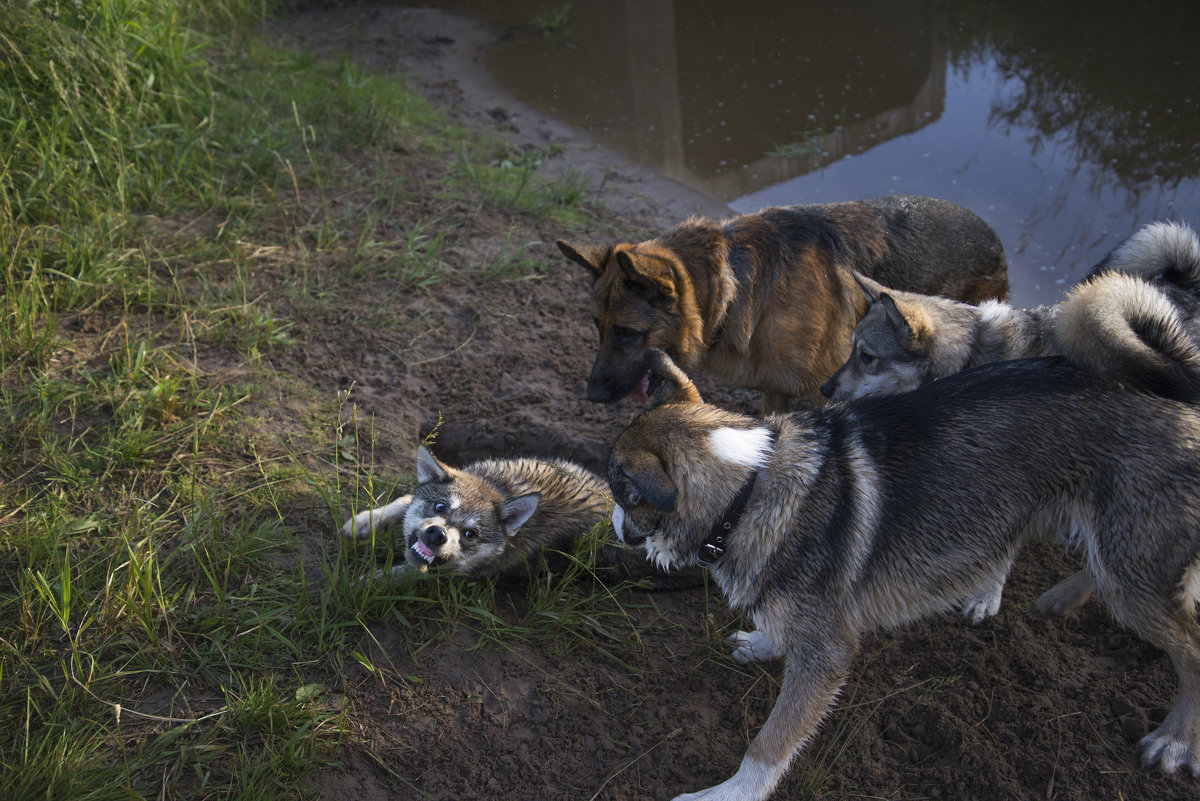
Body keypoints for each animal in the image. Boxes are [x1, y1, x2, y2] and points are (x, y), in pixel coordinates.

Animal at [340, 443, 696, 587]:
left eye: (470, 534)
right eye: (440, 508)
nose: (437, 535)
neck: (501, 488)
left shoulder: (448, 574)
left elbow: (395, 574)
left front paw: (357, 583)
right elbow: (403, 500)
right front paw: (365, 522)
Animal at [556, 190, 1008, 410]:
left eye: (627, 333)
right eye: (598, 328)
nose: (592, 396)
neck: (729, 286)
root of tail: (994, 237)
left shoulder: (828, 395)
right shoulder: (778, 390)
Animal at [609, 352, 1200, 801]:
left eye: (620, 492)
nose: (612, 525)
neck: (750, 488)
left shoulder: (828, 654)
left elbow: (771, 743)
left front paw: (727, 795)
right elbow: (779, 629)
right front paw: (763, 643)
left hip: (1131, 566)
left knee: (1187, 647)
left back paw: (1174, 740)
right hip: (1033, 515)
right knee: (1027, 552)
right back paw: (1026, 595)